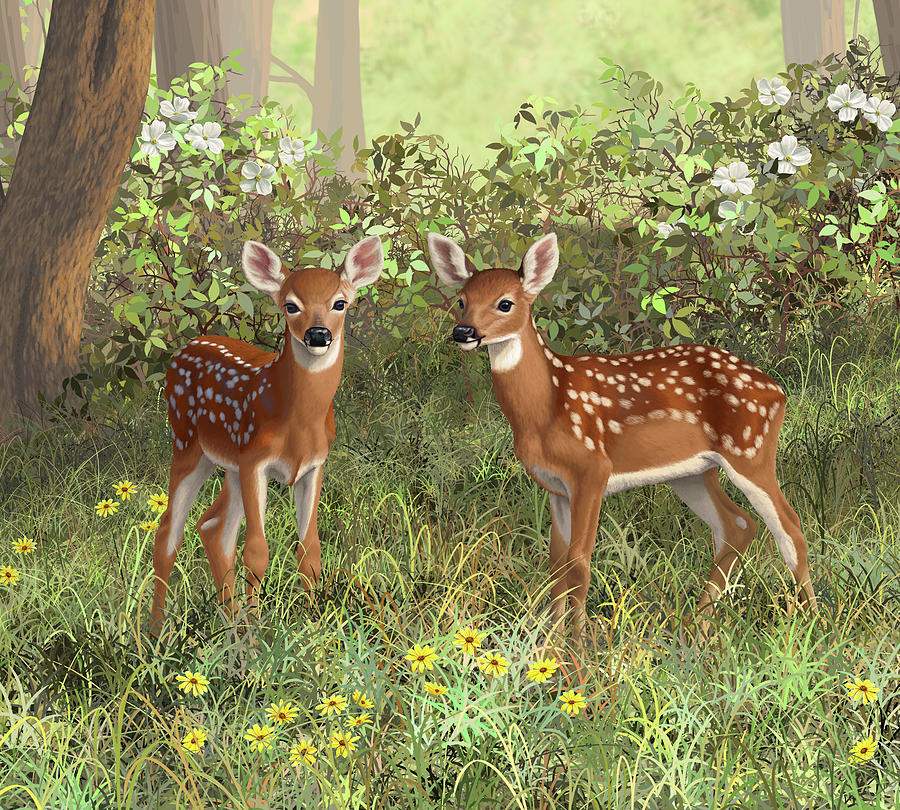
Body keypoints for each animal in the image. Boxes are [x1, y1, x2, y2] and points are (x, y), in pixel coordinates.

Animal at [150, 236, 385, 637]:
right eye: (291, 305)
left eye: (340, 302)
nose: (318, 334)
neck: (298, 423)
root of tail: (184, 348)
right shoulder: (255, 461)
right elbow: (257, 550)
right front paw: (259, 634)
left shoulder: (313, 467)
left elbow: (309, 549)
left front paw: (313, 625)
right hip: (188, 445)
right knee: (169, 531)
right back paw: (153, 633)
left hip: (228, 465)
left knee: (213, 527)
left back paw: (229, 624)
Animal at [427, 230, 817, 638]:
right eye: (461, 301)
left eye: (506, 303)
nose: (463, 332)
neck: (548, 406)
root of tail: (778, 390)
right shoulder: (555, 487)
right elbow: (556, 566)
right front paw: (548, 644)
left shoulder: (592, 470)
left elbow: (579, 564)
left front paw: (579, 649)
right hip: (693, 473)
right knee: (737, 526)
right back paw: (694, 629)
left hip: (750, 451)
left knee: (791, 529)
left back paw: (814, 624)